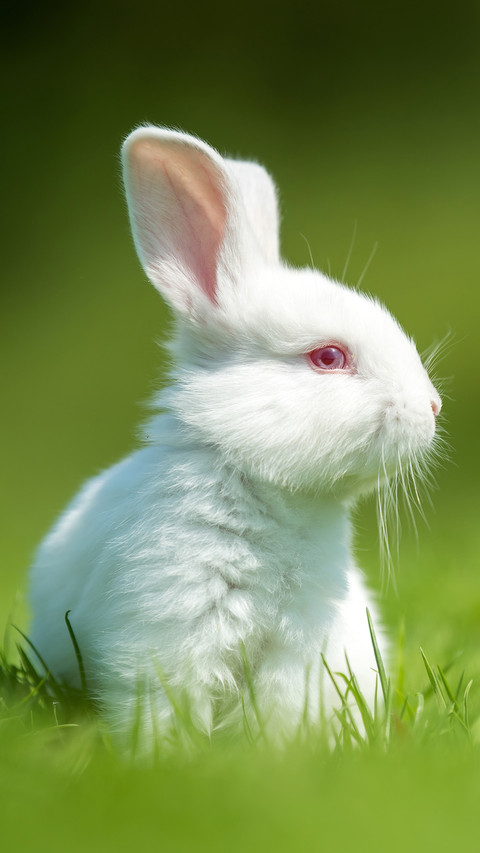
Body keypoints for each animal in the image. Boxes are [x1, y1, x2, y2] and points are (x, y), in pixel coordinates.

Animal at [28, 126, 442, 750]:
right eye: (328, 357)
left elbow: (276, 714)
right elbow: (169, 707)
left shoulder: (297, 651)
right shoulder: (172, 628)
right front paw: (171, 759)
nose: (433, 408)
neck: (269, 493)